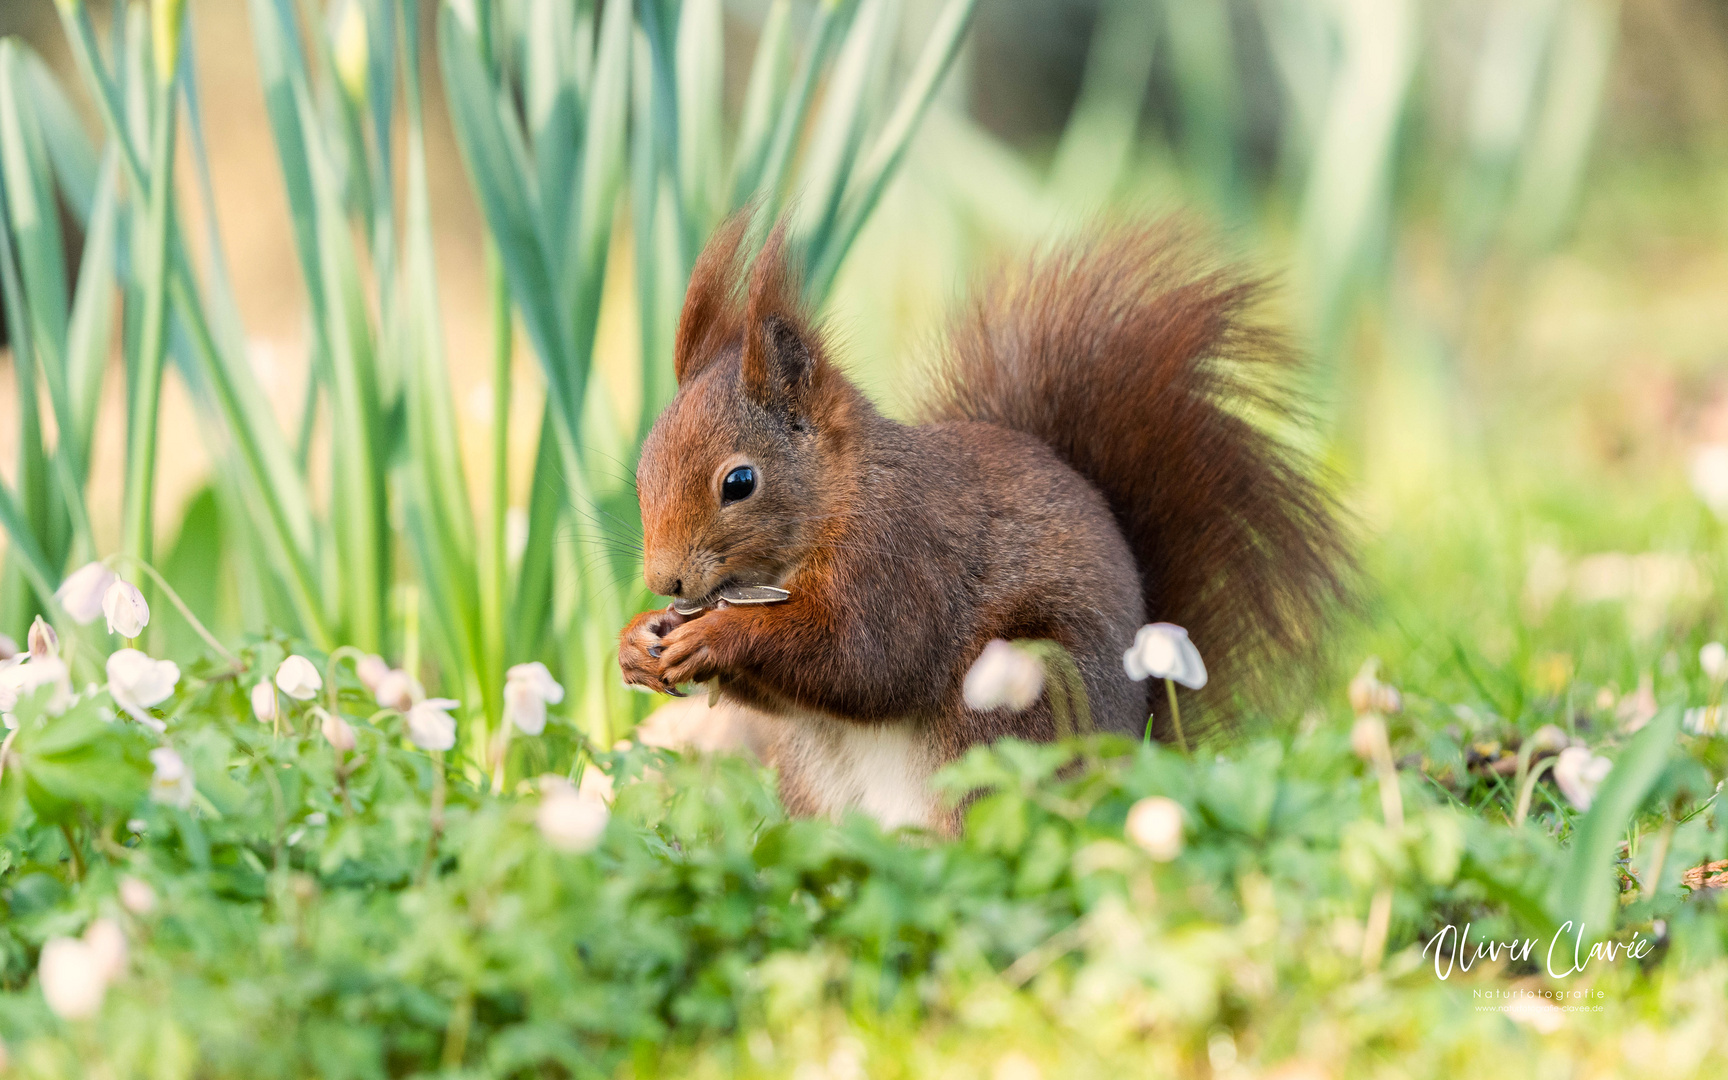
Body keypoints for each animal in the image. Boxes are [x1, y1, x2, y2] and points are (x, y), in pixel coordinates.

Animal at [618, 216, 1347, 825]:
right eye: (642, 468)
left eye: (739, 482)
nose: (665, 582)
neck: (839, 499)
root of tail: (1129, 754)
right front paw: (637, 641)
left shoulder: (904, 555)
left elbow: (867, 660)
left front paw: (718, 634)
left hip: (1008, 718)